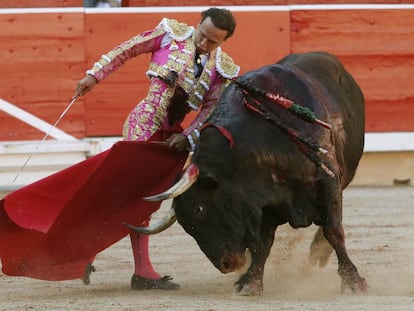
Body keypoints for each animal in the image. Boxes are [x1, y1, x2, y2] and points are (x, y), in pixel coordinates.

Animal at [129, 52, 366, 296]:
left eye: (199, 209)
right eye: (186, 226)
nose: (226, 265)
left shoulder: (327, 180)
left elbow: (333, 230)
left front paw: (353, 281)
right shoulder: (266, 199)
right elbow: (262, 243)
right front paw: (250, 282)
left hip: (344, 173)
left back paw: (319, 252)